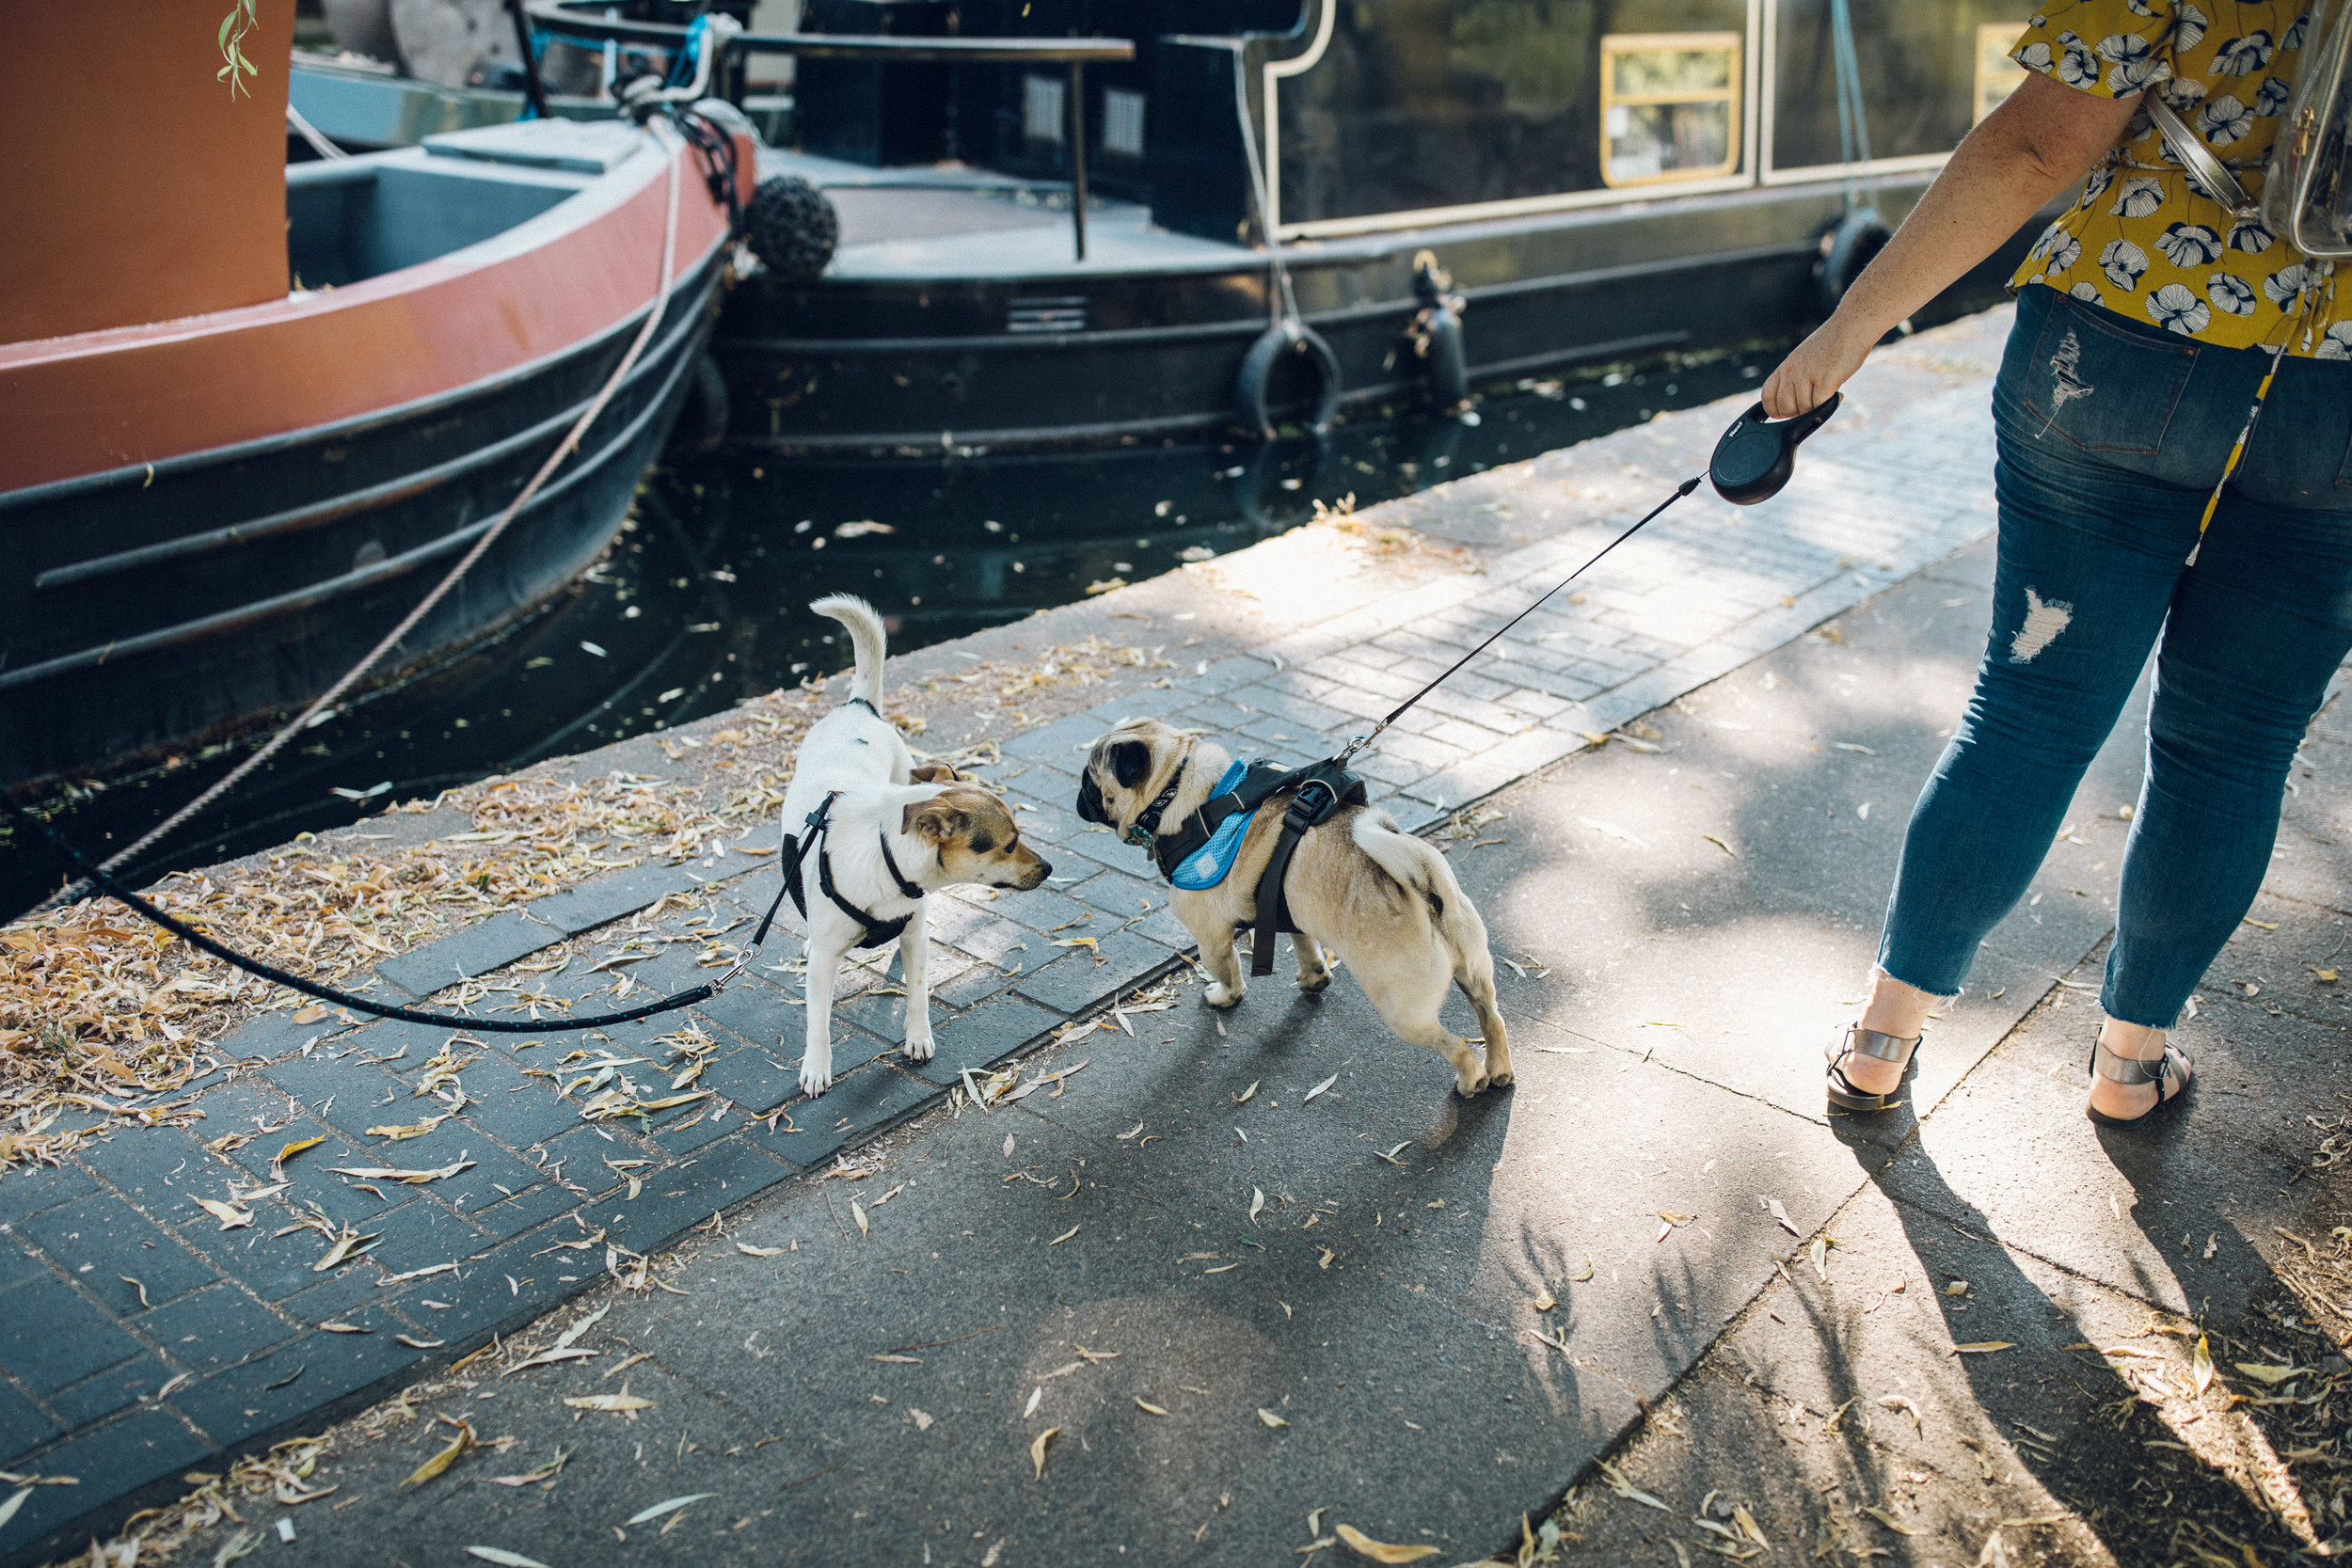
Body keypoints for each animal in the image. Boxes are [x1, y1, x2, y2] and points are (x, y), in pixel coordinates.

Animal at [790, 594, 1049, 1100]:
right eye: (1009, 844)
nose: (1048, 868)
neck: (886, 860)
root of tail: (857, 707)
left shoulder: (915, 936)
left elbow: (918, 993)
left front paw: (918, 1037)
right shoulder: (827, 964)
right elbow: (818, 1023)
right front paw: (816, 1066)